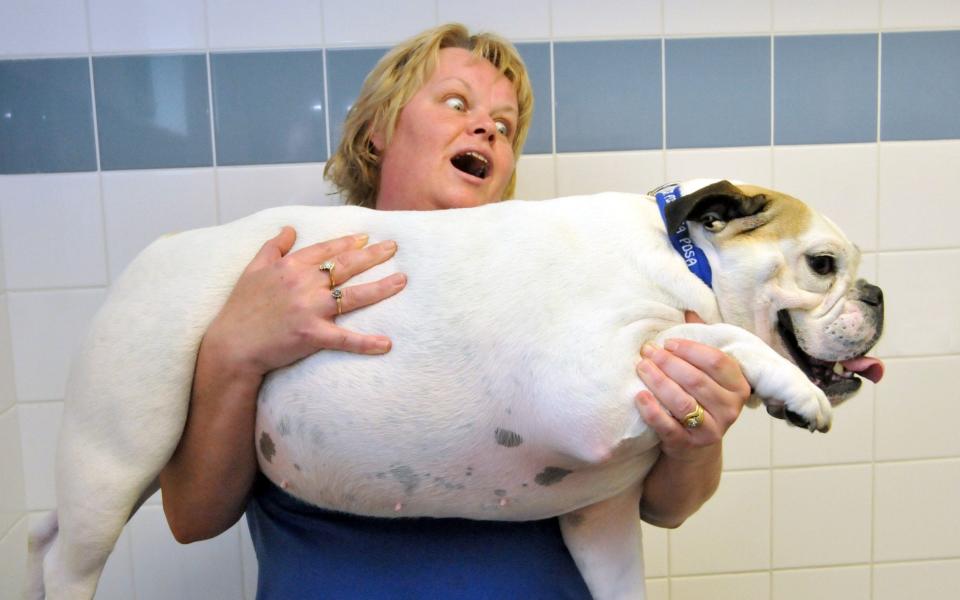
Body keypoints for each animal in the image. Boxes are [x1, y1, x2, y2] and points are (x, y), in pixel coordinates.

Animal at [28, 180, 884, 600]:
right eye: (822, 265)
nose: (878, 294)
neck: (681, 258)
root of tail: (164, 247)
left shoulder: (602, 521)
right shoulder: (586, 383)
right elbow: (716, 339)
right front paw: (789, 390)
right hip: (122, 449)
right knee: (71, 559)